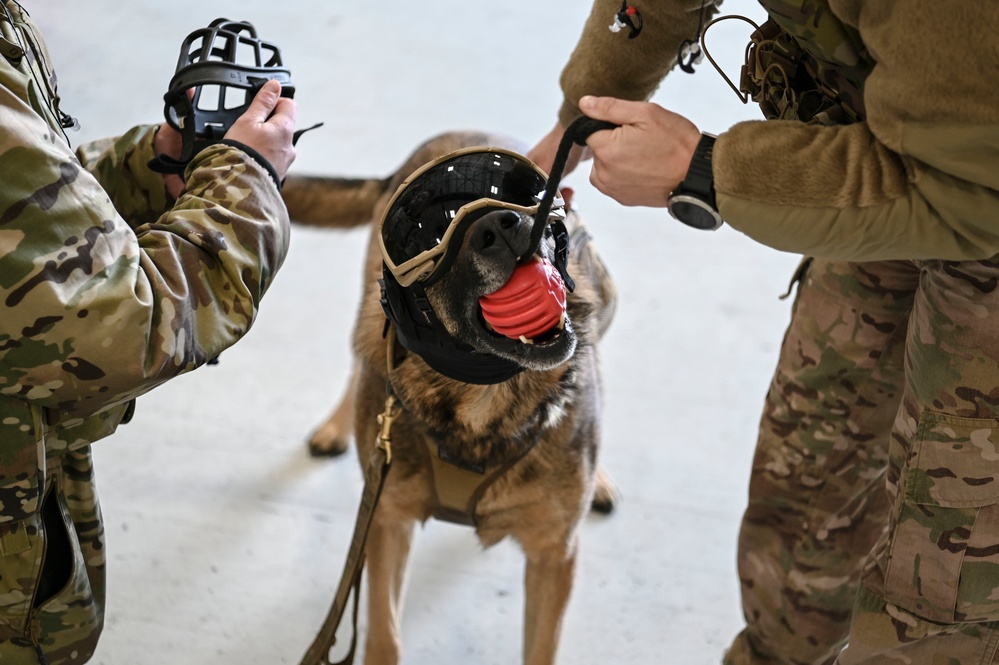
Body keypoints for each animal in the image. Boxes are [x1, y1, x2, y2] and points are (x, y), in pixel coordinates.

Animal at [282, 131, 616, 664]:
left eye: (521, 198)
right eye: (434, 233)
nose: (504, 225)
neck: (481, 400)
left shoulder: (554, 554)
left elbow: (540, 648)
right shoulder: (387, 522)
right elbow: (384, 636)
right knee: (360, 352)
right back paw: (336, 427)